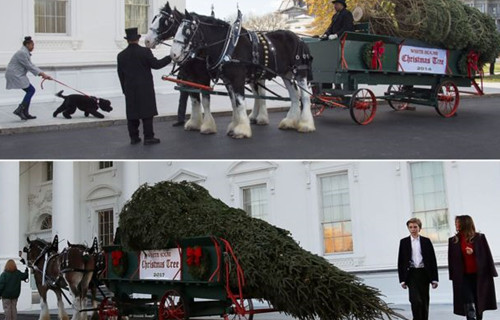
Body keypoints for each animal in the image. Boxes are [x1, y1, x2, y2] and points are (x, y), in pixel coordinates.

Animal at [170, 9, 314, 138]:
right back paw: (290, 122)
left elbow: (239, 103)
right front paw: (234, 125)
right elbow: (234, 103)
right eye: (176, 30)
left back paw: (306, 124)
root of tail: (299, 39)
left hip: (300, 72)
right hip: (287, 74)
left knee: (305, 96)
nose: (174, 55)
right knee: (294, 95)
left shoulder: (237, 79)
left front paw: (242, 130)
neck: (229, 46)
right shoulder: (228, 81)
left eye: (187, 31)